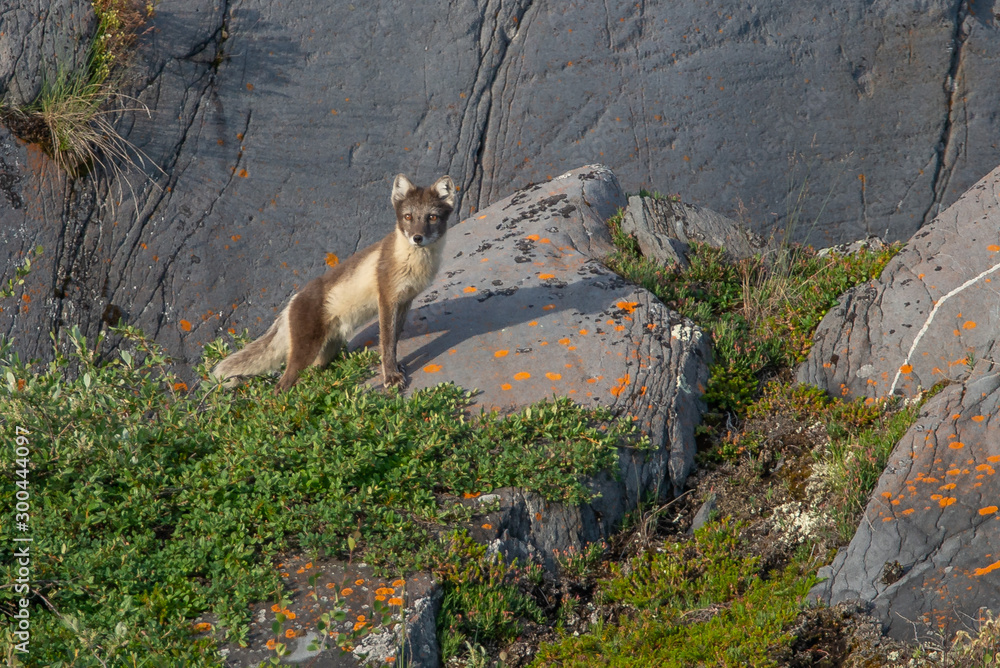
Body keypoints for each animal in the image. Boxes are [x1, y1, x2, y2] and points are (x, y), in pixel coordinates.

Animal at [211, 174, 456, 391]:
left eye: (432, 217)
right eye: (408, 217)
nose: (417, 238)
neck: (414, 263)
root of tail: (291, 303)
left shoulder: (405, 300)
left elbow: (394, 339)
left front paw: (396, 367)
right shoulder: (387, 298)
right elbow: (386, 343)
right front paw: (391, 375)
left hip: (325, 351)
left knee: (310, 373)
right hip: (305, 351)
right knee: (281, 385)